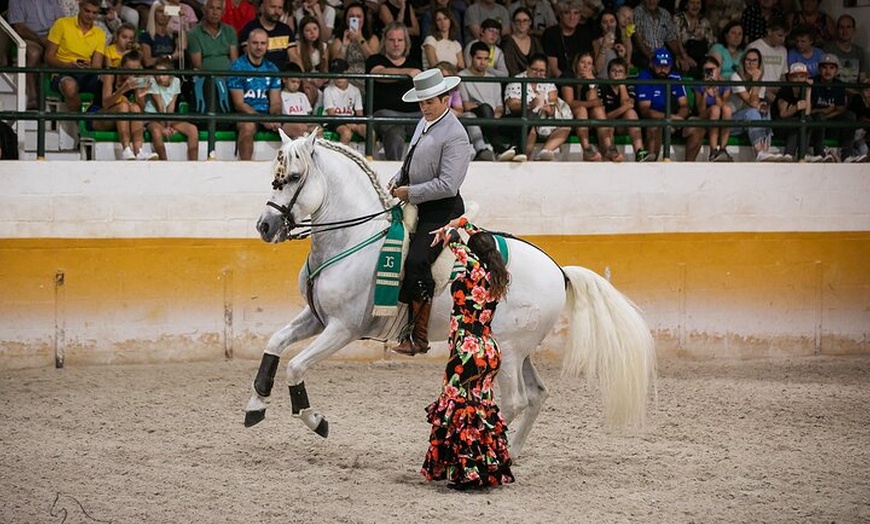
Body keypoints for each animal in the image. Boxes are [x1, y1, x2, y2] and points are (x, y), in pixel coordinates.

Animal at [244, 131, 656, 458]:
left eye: (293, 177)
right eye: (275, 178)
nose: (265, 226)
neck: (353, 239)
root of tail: (558, 271)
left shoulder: (343, 328)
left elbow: (296, 365)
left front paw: (315, 419)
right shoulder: (316, 317)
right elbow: (275, 343)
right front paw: (256, 404)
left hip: (509, 349)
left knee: (516, 400)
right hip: (517, 349)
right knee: (538, 394)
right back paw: (512, 453)